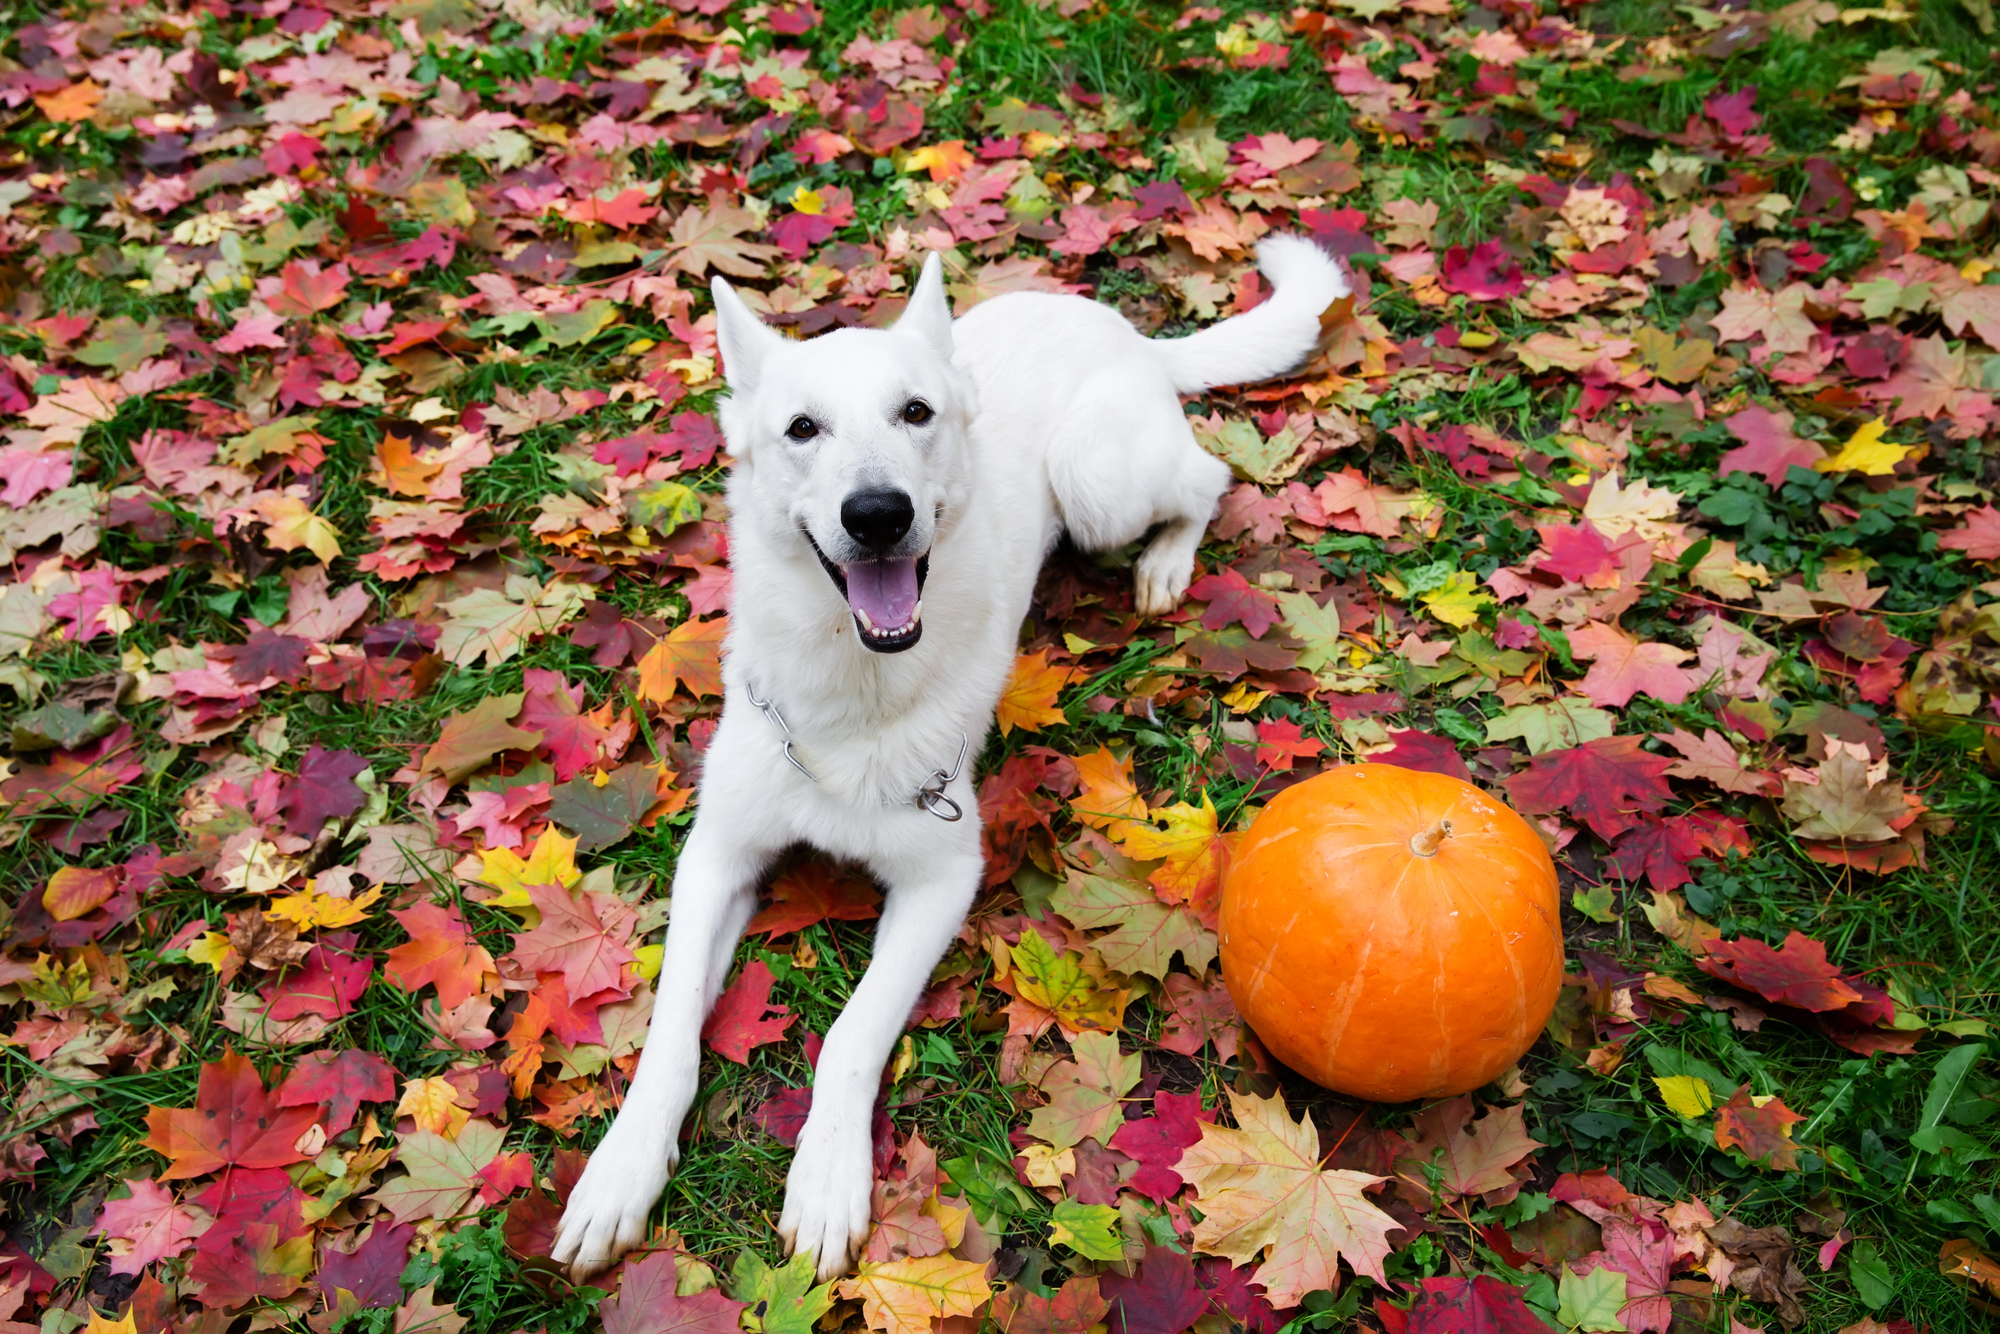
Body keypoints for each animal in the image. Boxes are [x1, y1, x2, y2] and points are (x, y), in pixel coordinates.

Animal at [556, 232, 1352, 1280]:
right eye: (802, 429)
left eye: (915, 413)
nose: (878, 514)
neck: (851, 694)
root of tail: (1117, 326)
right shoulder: (716, 859)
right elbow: (672, 1027)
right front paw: (621, 1169)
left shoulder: (941, 878)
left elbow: (849, 1035)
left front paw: (826, 1176)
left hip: (1096, 481)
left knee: (1208, 480)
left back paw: (1168, 560)